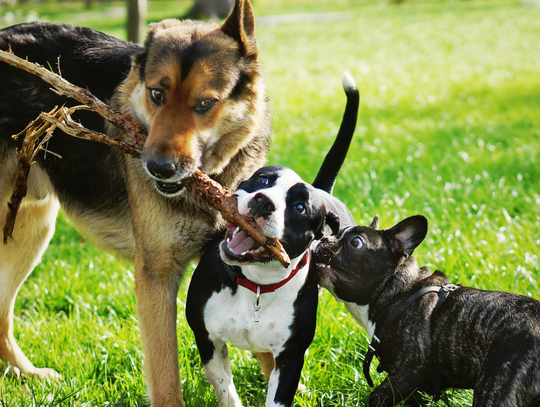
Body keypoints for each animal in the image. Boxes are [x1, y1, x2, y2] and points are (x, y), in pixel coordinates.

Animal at [0, 0, 270, 404]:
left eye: (205, 103)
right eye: (157, 95)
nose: (158, 168)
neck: (212, 181)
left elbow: (270, 352)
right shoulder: (155, 277)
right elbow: (166, 376)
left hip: (31, 227)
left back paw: (27, 374)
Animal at [186, 74, 358, 407]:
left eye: (300, 207)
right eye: (263, 179)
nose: (264, 202)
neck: (256, 285)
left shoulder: (291, 358)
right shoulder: (208, 341)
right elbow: (226, 391)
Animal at [314, 215, 540, 406]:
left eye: (356, 243)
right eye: (335, 232)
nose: (324, 238)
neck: (397, 291)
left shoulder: (408, 372)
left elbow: (375, 397)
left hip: (496, 385)